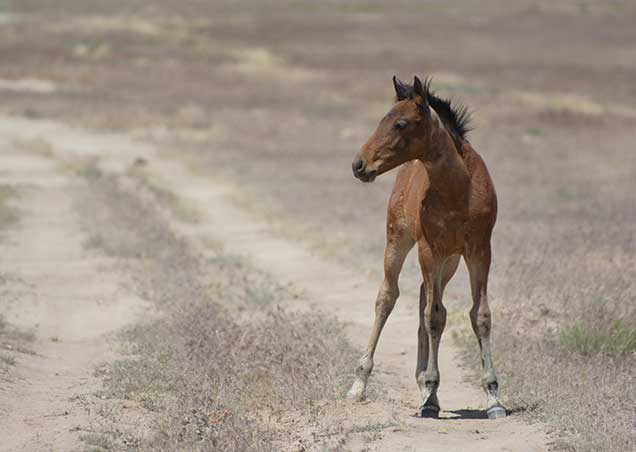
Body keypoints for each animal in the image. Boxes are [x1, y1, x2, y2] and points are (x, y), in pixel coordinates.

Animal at [348, 76, 506, 418]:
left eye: (400, 123)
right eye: (382, 119)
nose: (359, 164)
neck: (458, 188)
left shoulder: (479, 251)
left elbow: (480, 315)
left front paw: (493, 397)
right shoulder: (429, 248)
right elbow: (434, 317)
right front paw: (432, 396)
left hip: (449, 261)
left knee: (424, 296)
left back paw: (422, 383)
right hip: (399, 241)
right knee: (387, 297)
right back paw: (360, 384)